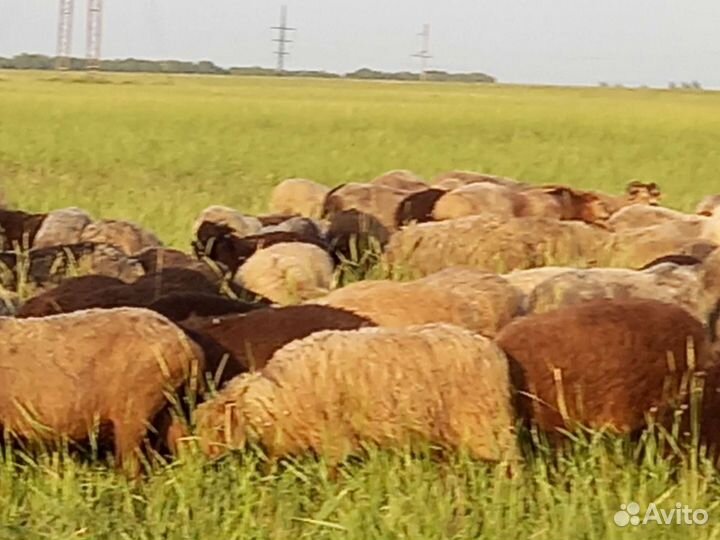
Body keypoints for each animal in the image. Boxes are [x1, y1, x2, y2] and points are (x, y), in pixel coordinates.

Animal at [187, 324, 519, 465]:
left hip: (485, 424)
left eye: (217, 428)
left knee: (510, 463)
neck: (279, 396)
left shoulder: (334, 439)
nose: (205, 463)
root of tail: (491, 349)